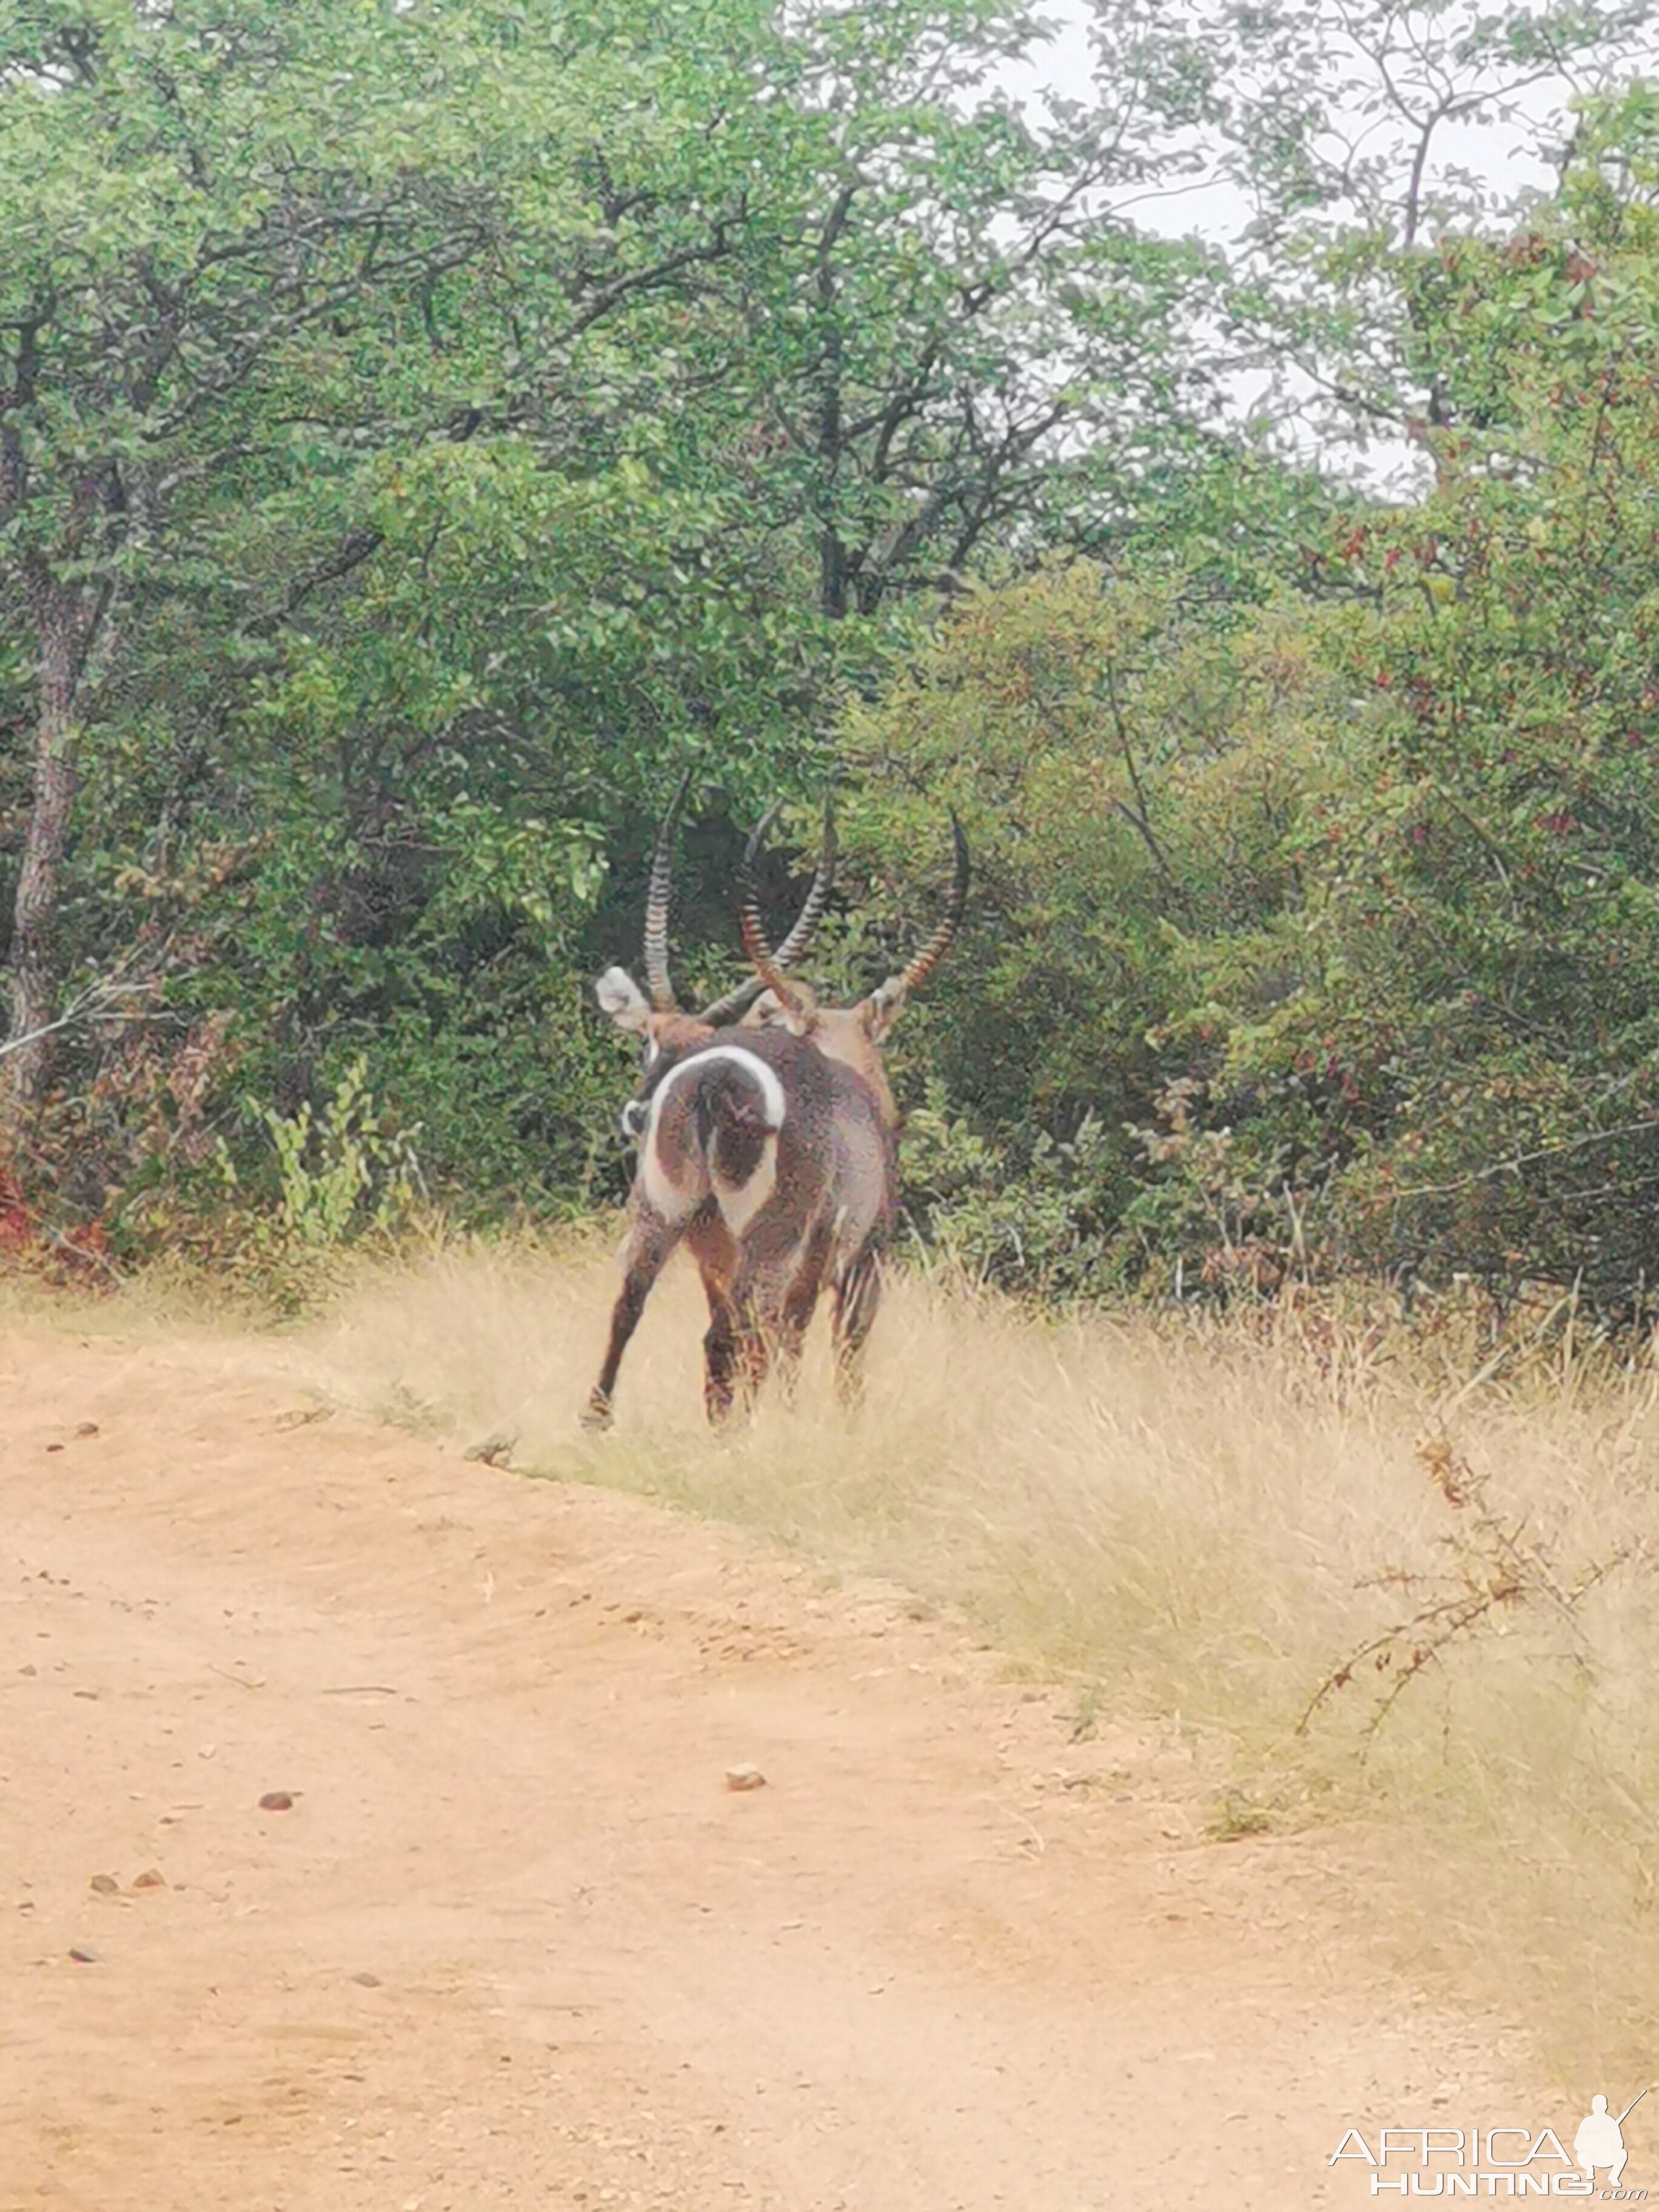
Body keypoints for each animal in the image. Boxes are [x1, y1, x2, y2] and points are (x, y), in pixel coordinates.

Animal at [588, 787, 968, 1424]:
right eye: (647, 1042)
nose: (635, 1115)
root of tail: (716, 1084)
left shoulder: (716, 1256)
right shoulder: (857, 1260)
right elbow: (828, 1348)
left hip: (661, 1212)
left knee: (631, 1307)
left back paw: (599, 1420)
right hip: (773, 1242)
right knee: (746, 1334)